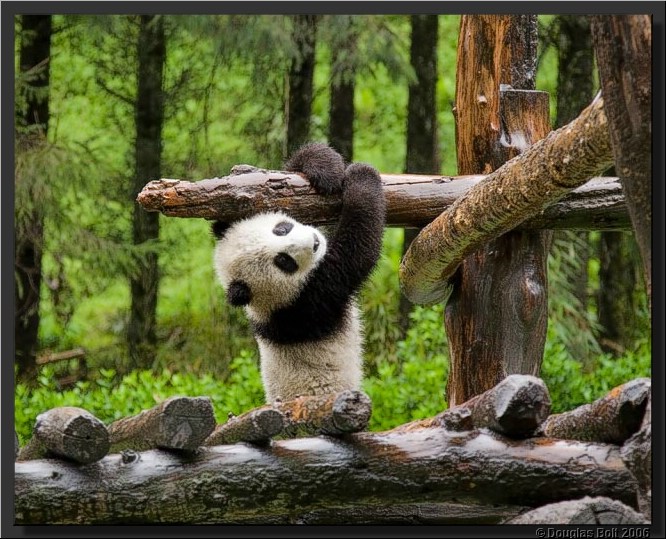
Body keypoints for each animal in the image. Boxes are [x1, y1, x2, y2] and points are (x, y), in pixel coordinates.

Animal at [212, 142, 386, 403]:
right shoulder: (309, 303)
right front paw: (362, 174)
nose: (314, 242)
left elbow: (281, 180)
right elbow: (356, 251)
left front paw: (325, 171)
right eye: (284, 261)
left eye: (281, 229)